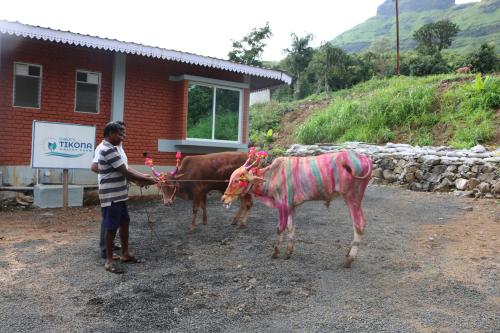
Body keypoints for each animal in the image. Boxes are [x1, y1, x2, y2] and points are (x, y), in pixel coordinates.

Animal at [222, 150, 372, 268]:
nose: (224, 199)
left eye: (237, 180)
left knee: (359, 224)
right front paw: (288, 253)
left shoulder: (283, 205)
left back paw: (349, 259)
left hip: (352, 198)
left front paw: (275, 252)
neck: (273, 175)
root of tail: (364, 158)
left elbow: (280, 228)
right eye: (231, 178)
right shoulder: (292, 206)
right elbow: (291, 228)